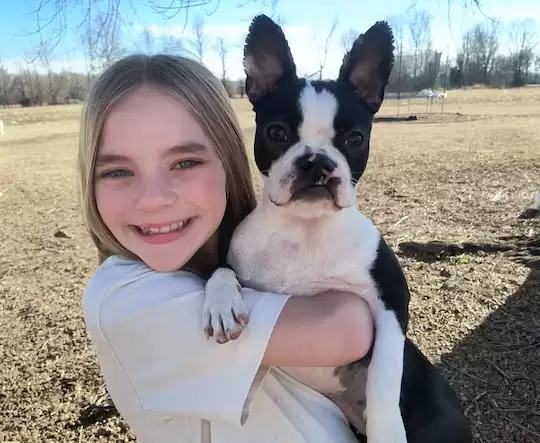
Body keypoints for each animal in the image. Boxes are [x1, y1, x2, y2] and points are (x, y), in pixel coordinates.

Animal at [202, 13, 472, 443]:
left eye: (355, 138)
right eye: (277, 133)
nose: (316, 161)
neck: (303, 230)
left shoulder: (390, 299)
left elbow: (384, 376)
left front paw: (387, 429)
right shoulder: (235, 253)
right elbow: (220, 268)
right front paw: (223, 301)